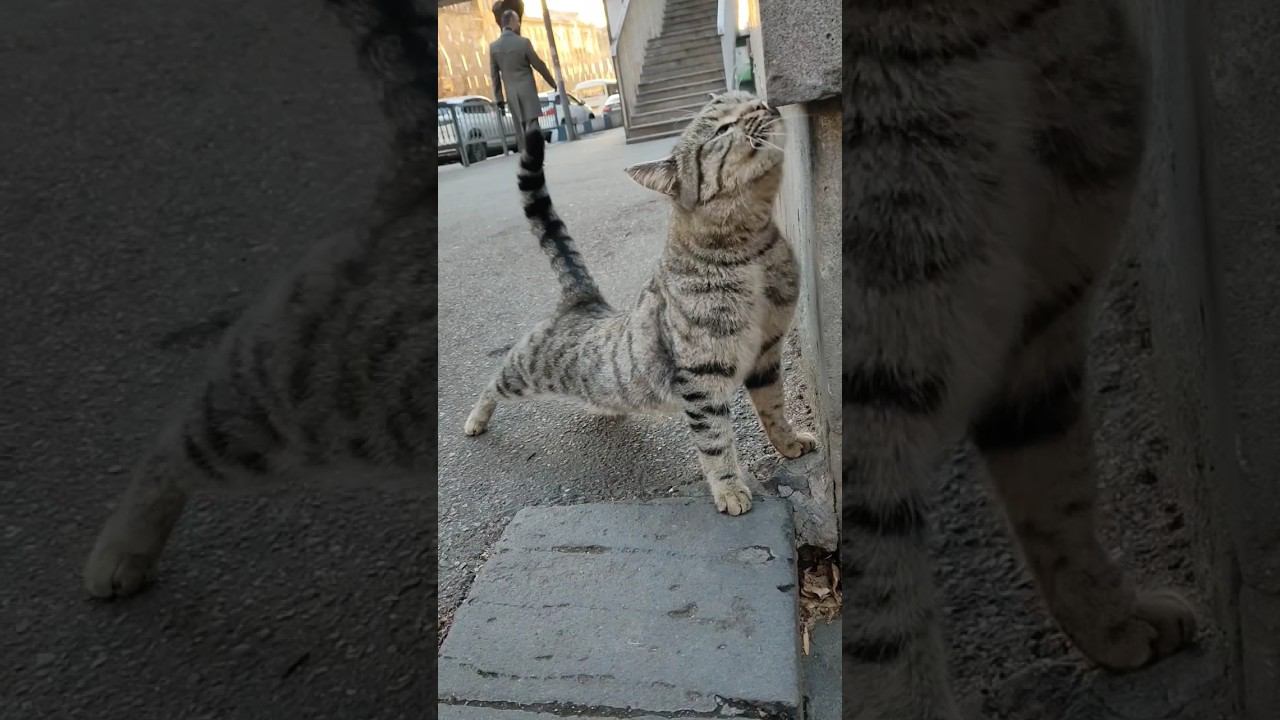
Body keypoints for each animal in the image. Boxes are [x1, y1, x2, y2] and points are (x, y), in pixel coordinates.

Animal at [465, 90, 814, 515]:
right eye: (722, 128)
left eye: (748, 99)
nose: (763, 105)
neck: (752, 251)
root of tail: (584, 299)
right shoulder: (701, 377)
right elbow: (715, 441)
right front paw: (730, 488)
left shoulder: (765, 355)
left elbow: (774, 409)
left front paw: (788, 443)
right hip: (526, 369)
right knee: (492, 382)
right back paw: (476, 418)